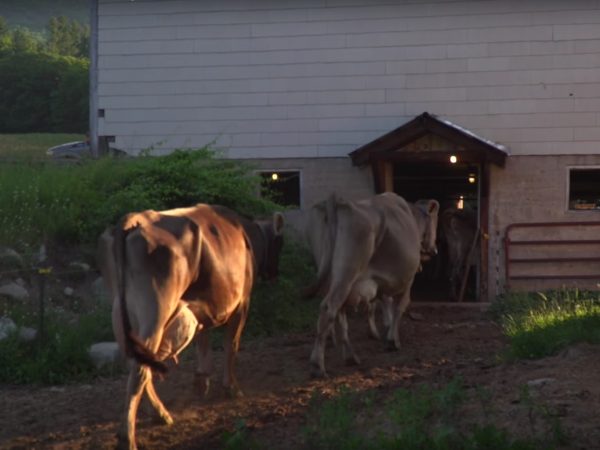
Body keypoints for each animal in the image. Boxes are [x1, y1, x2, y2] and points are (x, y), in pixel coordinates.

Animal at [97, 205, 284, 450]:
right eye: (281, 243)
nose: (275, 274)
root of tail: (135, 219)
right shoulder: (242, 303)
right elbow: (231, 346)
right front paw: (231, 388)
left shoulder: (202, 309)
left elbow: (202, 342)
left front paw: (201, 383)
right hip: (155, 312)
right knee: (140, 370)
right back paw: (127, 437)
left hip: (120, 313)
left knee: (137, 363)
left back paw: (160, 414)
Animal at [308, 192, 438, 378]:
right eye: (435, 221)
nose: (434, 249)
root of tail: (337, 200)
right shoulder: (409, 279)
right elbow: (399, 307)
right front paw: (392, 340)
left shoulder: (380, 282)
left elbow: (381, 305)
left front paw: (385, 330)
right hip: (347, 272)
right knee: (329, 308)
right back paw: (318, 365)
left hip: (334, 275)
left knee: (339, 312)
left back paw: (350, 356)